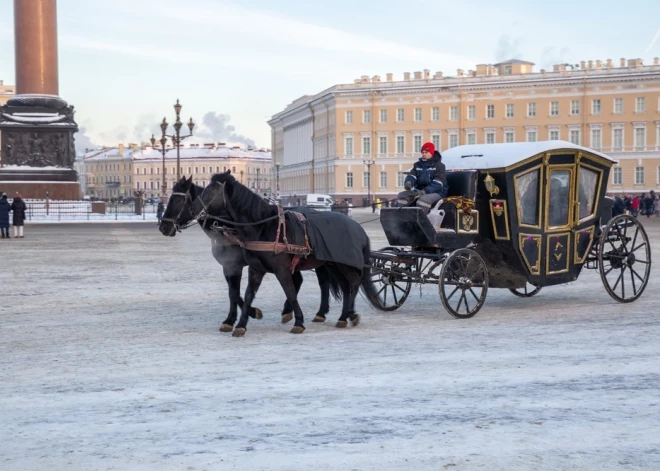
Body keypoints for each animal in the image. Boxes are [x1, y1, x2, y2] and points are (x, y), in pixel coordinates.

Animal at [159, 176, 336, 332]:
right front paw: (234, 319)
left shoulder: (235, 266)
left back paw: (318, 312)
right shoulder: (228, 266)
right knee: (302, 281)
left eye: (177, 200)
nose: (163, 227)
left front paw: (248, 314)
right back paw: (289, 311)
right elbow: (233, 292)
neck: (226, 227)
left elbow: (235, 293)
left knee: (322, 282)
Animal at [193, 171, 374, 338]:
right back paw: (344, 316)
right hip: (333, 264)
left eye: (212, 189)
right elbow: (248, 294)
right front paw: (241, 324)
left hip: (344, 265)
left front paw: (298, 321)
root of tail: (358, 228)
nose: (195, 207)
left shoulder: (281, 270)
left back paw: (348, 314)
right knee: (345, 287)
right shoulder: (255, 269)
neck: (264, 227)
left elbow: (290, 293)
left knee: (354, 283)